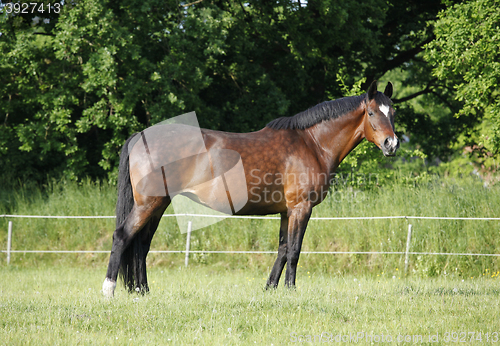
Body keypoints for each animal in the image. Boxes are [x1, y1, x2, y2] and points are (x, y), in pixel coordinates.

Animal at [101, 79, 398, 296]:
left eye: (393, 113)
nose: (391, 144)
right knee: (122, 236)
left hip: (159, 204)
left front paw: (271, 290)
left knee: (141, 244)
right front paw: (290, 291)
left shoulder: (286, 211)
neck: (312, 143)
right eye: (371, 112)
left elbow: (282, 249)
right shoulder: (301, 208)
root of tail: (141, 136)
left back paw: (142, 291)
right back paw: (109, 290)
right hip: (148, 203)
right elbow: (294, 250)